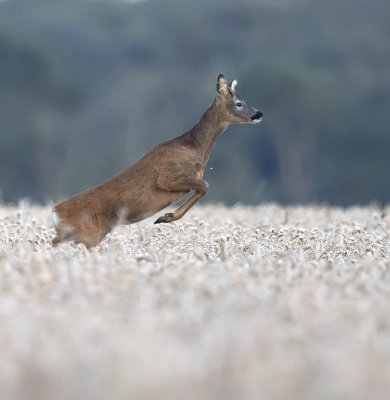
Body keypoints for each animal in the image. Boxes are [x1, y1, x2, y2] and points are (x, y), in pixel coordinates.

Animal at [52, 74, 262, 247]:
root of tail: (55, 213)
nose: (258, 114)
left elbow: (203, 187)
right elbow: (205, 186)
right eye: (239, 103)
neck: (194, 147)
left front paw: (166, 217)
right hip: (86, 235)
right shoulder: (167, 177)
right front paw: (166, 217)